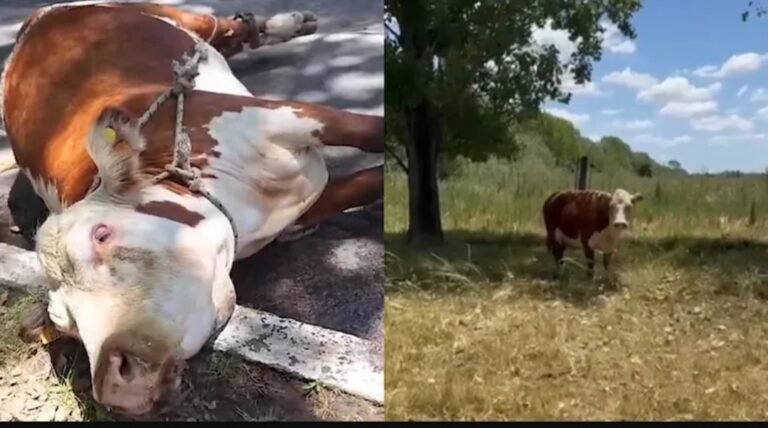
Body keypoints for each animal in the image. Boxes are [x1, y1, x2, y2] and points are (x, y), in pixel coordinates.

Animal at [2, 2, 383, 417]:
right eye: (67, 323)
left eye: (101, 235)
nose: (115, 384)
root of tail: (31, 24)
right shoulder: (305, 204)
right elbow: (365, 184)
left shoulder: (282, 115)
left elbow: (370, 132)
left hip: (173, 15)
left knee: (227, 28)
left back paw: (292, 23)